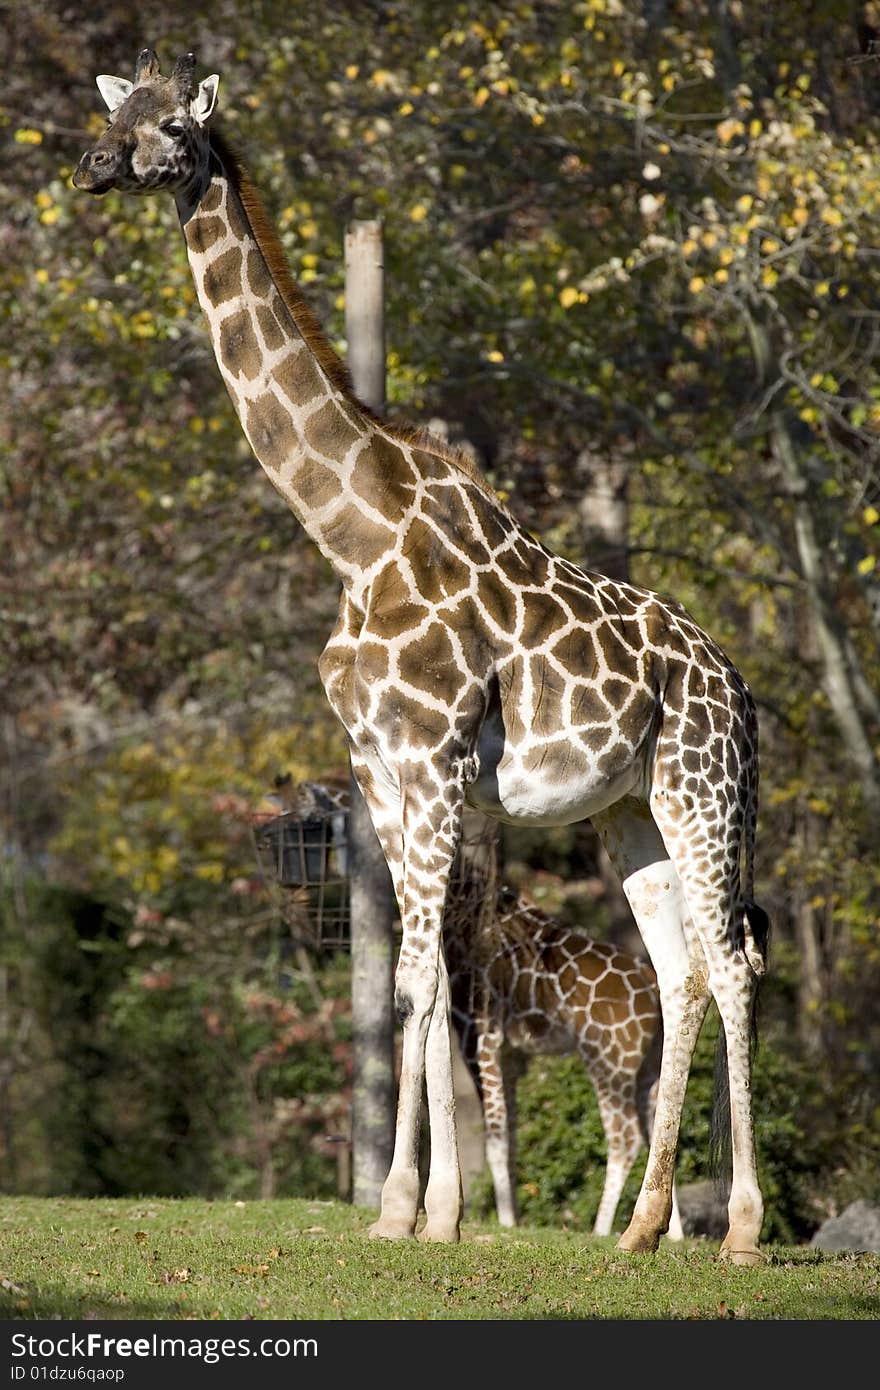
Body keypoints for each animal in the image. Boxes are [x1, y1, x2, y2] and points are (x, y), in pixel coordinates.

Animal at [75, 46, 767, 1262]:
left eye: (172, 127)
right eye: (114, 112)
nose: (93, 164)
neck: (353, 533)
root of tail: (739, 688)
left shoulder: (441, 761)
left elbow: (425, 982)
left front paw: (435, 1211)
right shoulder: (378, 768)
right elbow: (412, 981)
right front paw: (399, 1208)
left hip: (702, 786)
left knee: (732, 964)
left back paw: (735, 1232)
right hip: (630, 810)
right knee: (681, 971)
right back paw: (642, 1232)